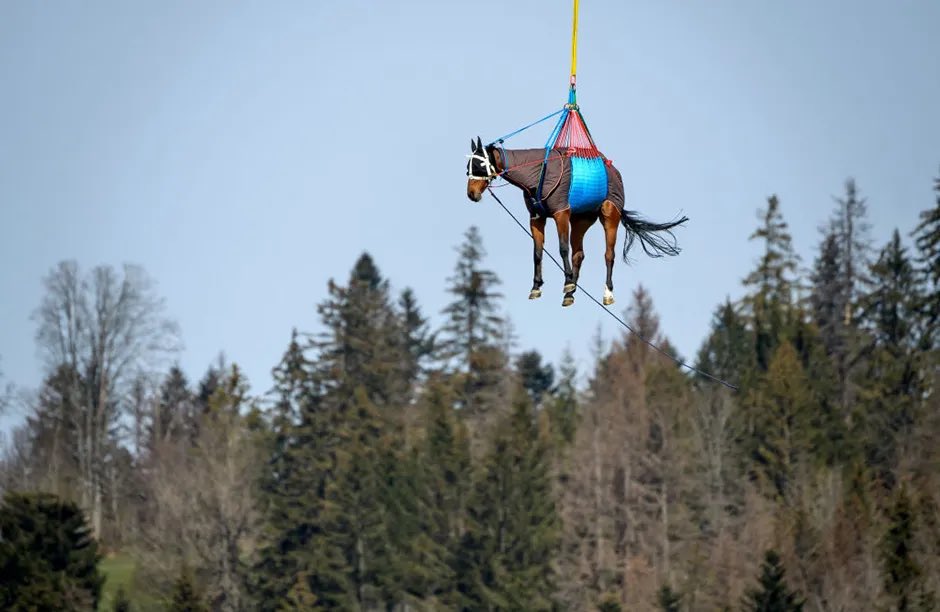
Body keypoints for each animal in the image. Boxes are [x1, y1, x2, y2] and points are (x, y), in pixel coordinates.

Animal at [466, 136, 688, 307]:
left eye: (479, 165)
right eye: (467, 166)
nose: (471, 194)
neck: (539, 171)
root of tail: (613, 171)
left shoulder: (561, 213)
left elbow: (563, 248)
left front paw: (567, 282)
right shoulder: (536, 218)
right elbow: (537, 252)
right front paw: (537, 287)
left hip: (610, 214)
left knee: (608, 254)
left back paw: (604, 292)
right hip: (581, 220)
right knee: (579, 254)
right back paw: (570, 294)